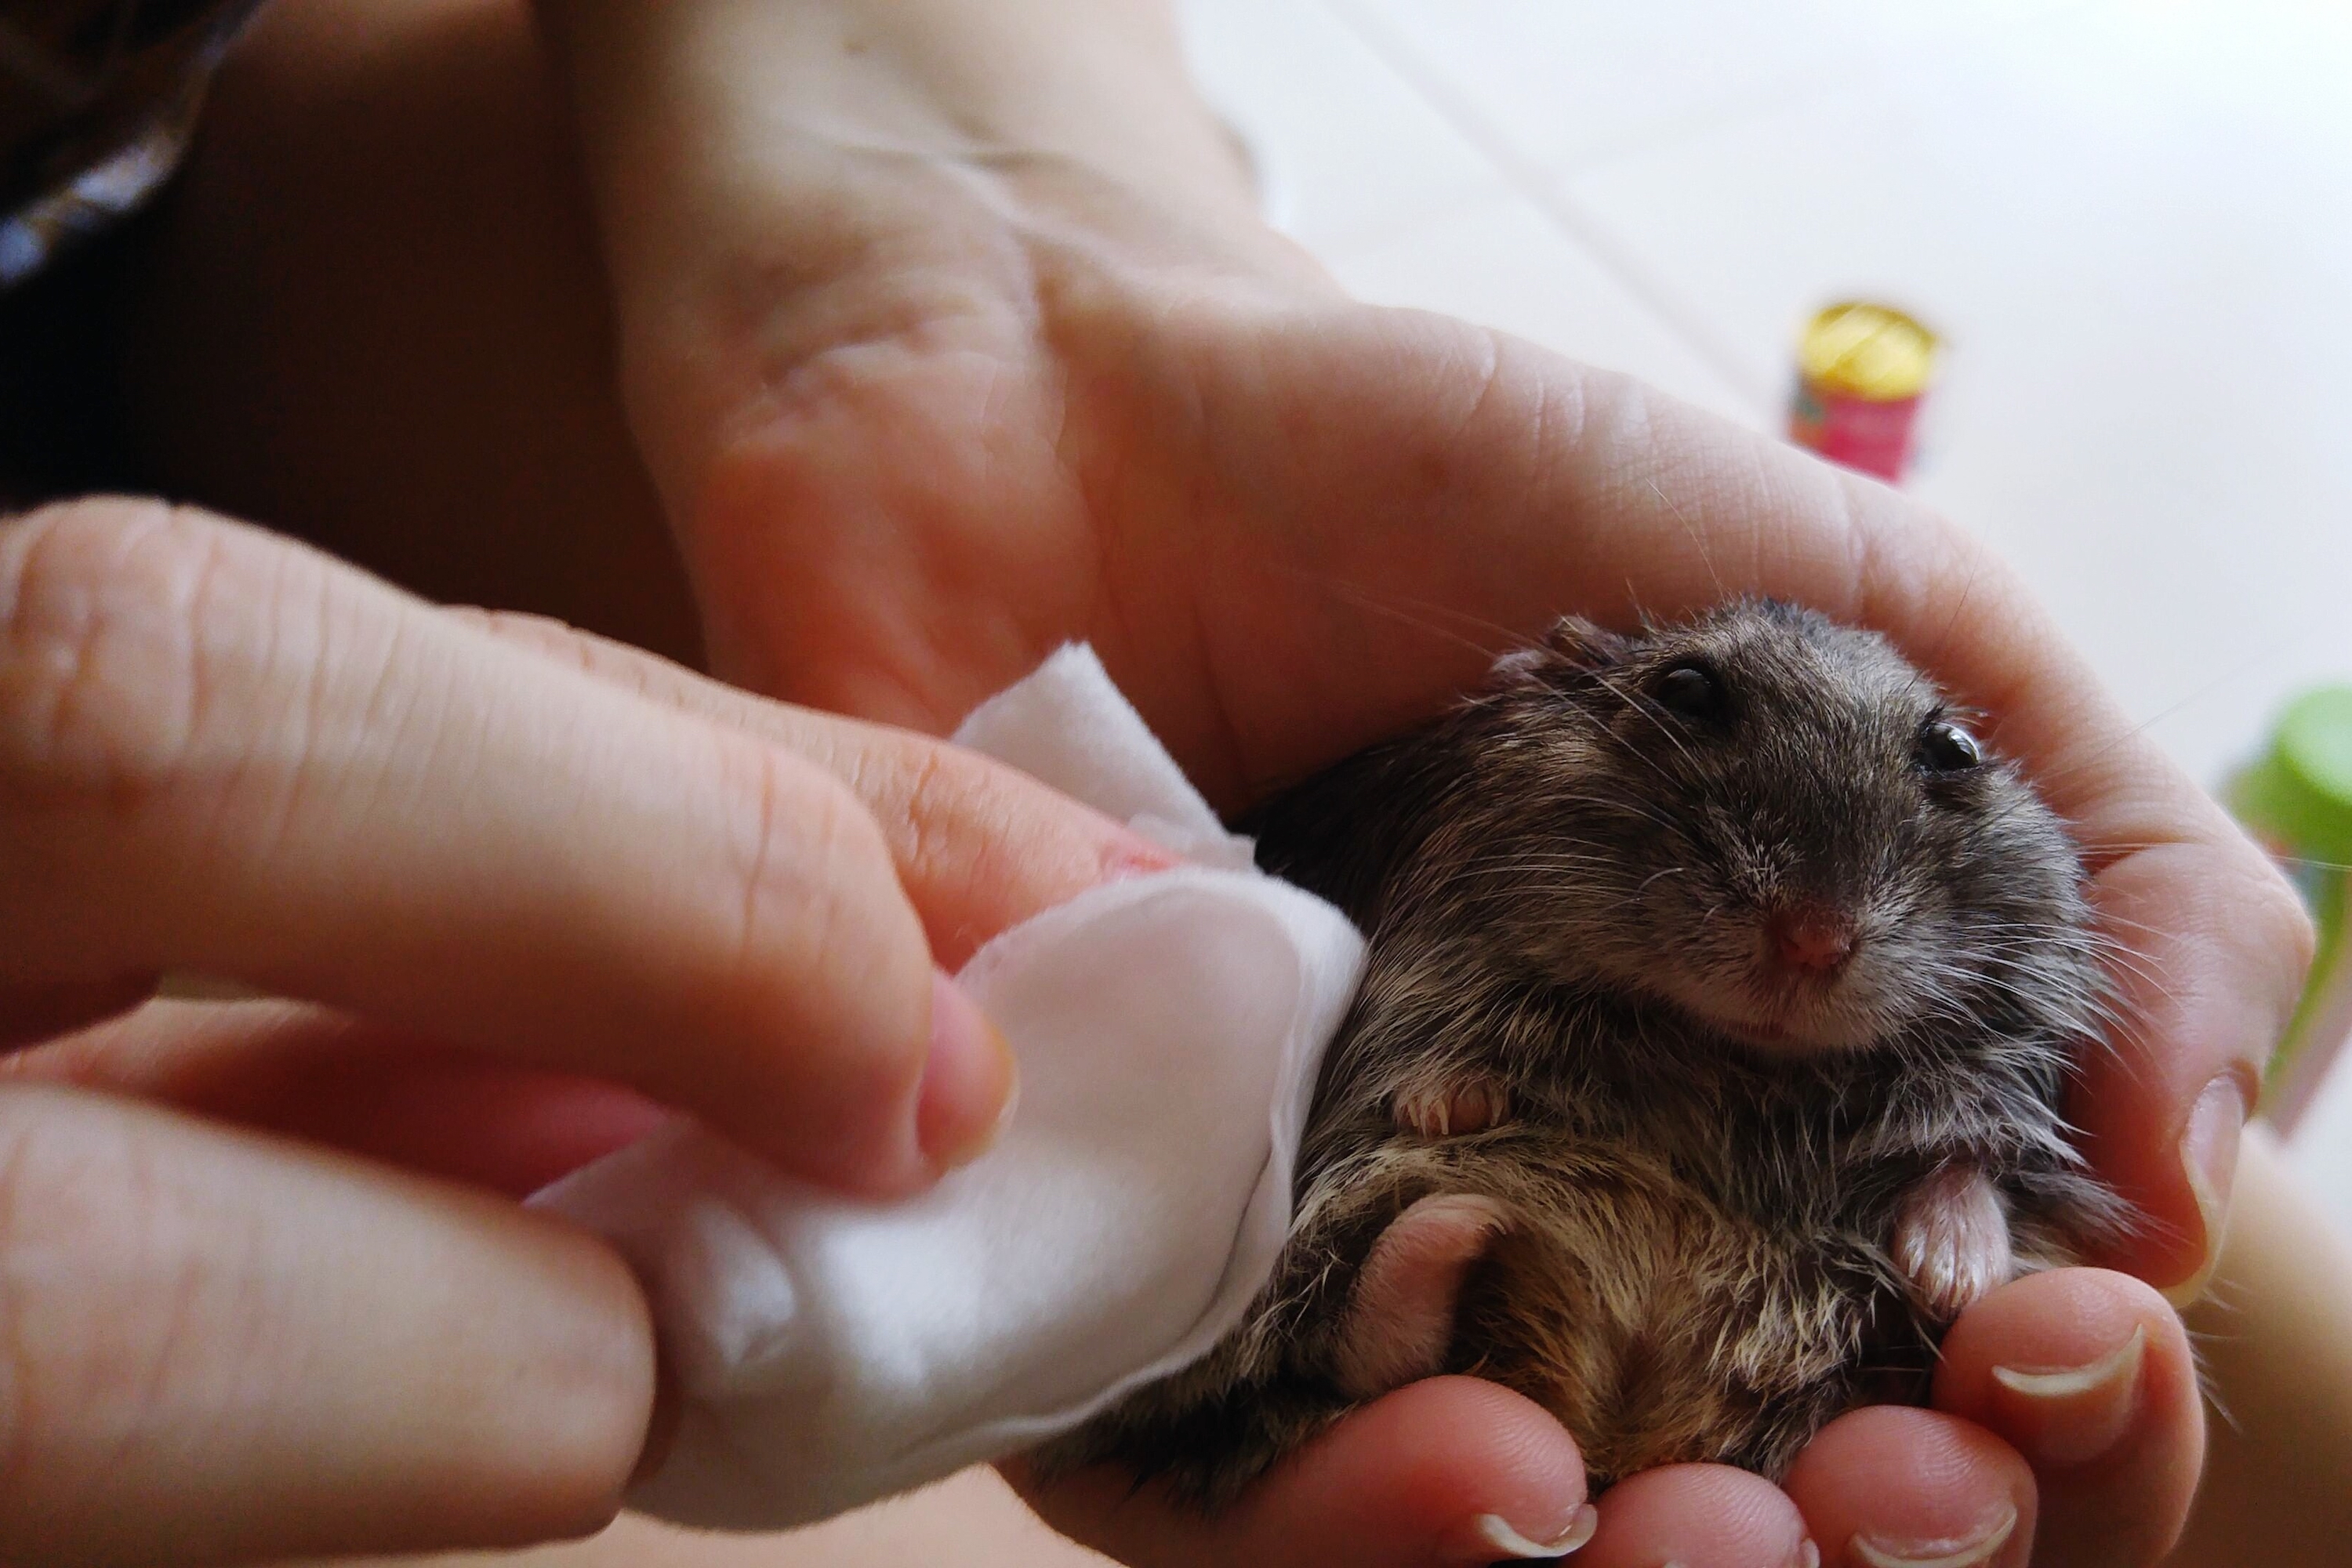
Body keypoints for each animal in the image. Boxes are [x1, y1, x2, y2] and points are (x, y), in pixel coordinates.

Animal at [1037, 599, 2131, 1504]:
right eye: (1686, 690)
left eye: (1953, 747)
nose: (1814, 938)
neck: (1732, 1055)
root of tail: (1613, 1422)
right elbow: (1435, 1033)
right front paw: (1455, 1104)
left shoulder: (2006, 1054)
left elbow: (1973, 1147)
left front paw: (1954, 1267)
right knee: (1347, 1350)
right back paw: (1456, 1221)